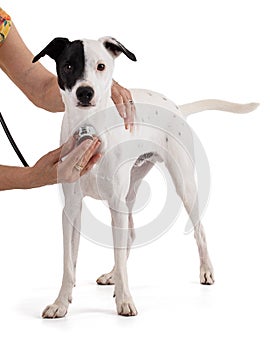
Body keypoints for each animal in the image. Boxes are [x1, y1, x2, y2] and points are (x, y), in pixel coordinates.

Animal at [32, 36, 258, 318]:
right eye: (69, 66)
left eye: (101, 66)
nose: (85, 93)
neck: (91, 127)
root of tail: (176, 106)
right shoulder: (72, 208)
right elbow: (68, 262)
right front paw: (62, 302)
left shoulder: (114, 203)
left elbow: (117, 255)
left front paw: (125, 300)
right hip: (130, 190)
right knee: (129, 236)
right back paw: (112, 275)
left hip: (182, 184)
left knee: (199, 230)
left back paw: (206, 271)